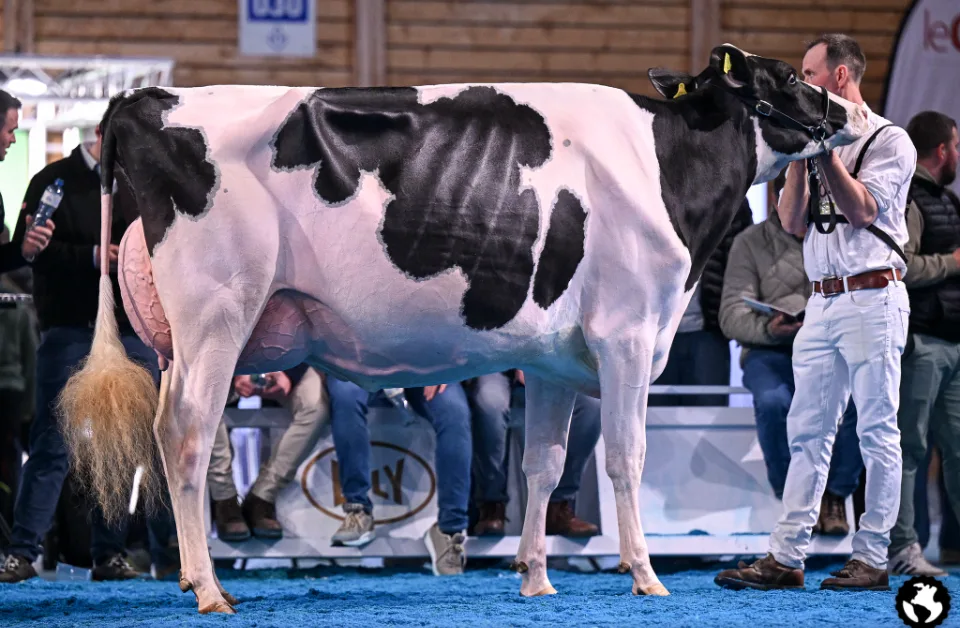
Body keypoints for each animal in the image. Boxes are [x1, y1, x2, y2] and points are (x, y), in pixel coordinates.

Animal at [56, 44, 869, 615]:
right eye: (788, 77)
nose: (854, 116)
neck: (668, 167)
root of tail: (142, 97)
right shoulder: (630, 335)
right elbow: (625, 458)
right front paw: (644, 576)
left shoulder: (552, 361)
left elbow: (541, 463)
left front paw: (536, 578)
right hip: (219, 315)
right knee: (188, 433)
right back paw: (208, 588)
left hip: (183, 339)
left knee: (170, 432)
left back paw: (195, 579)